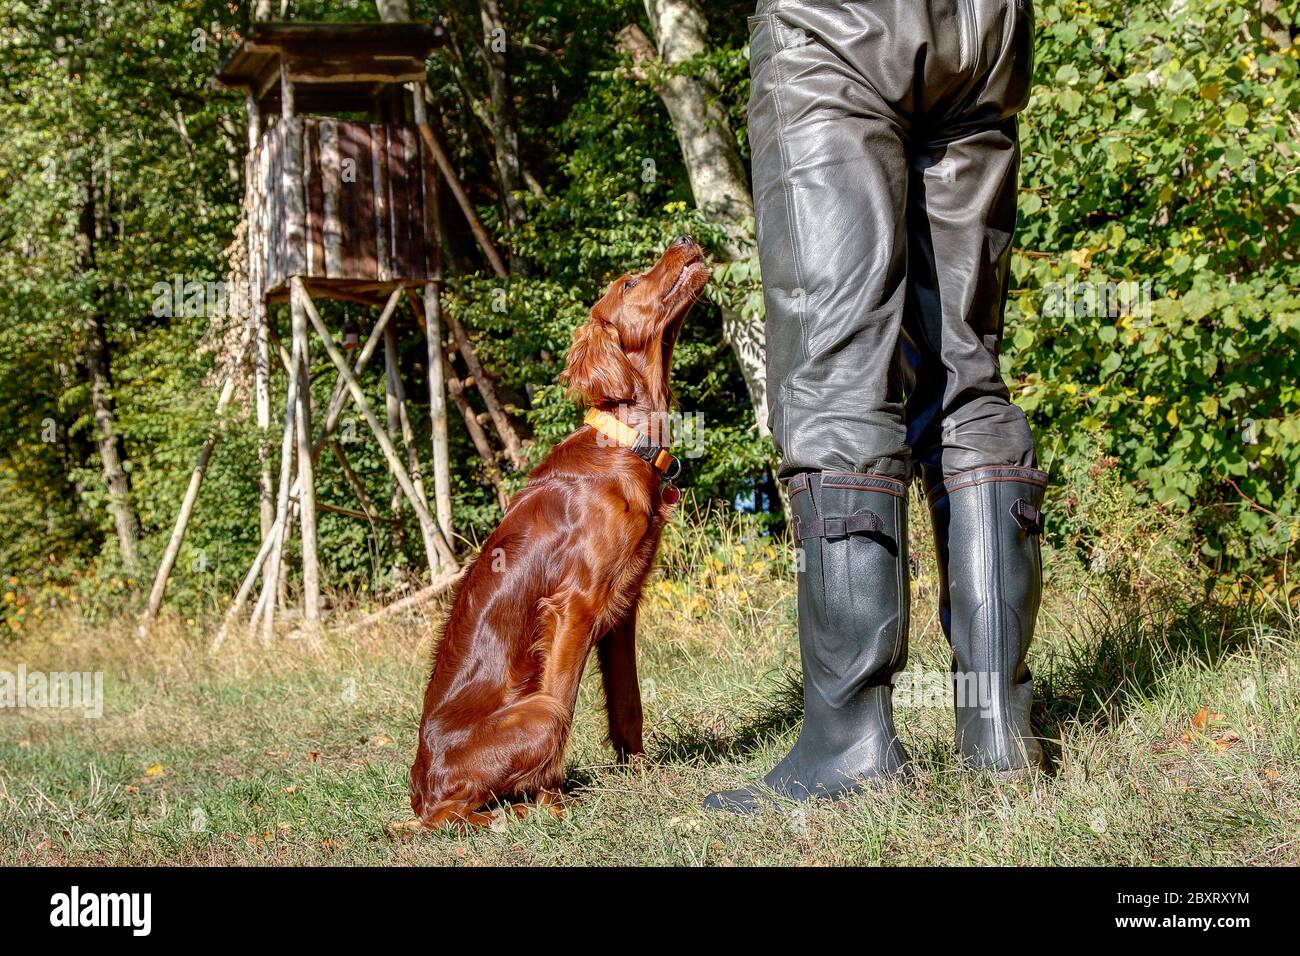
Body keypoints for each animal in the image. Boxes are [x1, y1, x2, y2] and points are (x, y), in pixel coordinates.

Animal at [408, 235, 707, 827]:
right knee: (454, 812)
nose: (684, 239)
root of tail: (420, 788)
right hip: (527, 719)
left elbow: (629, 702)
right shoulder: (576, 606)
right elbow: (565, 701)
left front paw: (639, 776)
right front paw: (554, 799)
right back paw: (516, 810)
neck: (625, 444)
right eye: (629, 283)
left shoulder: (621, 610)